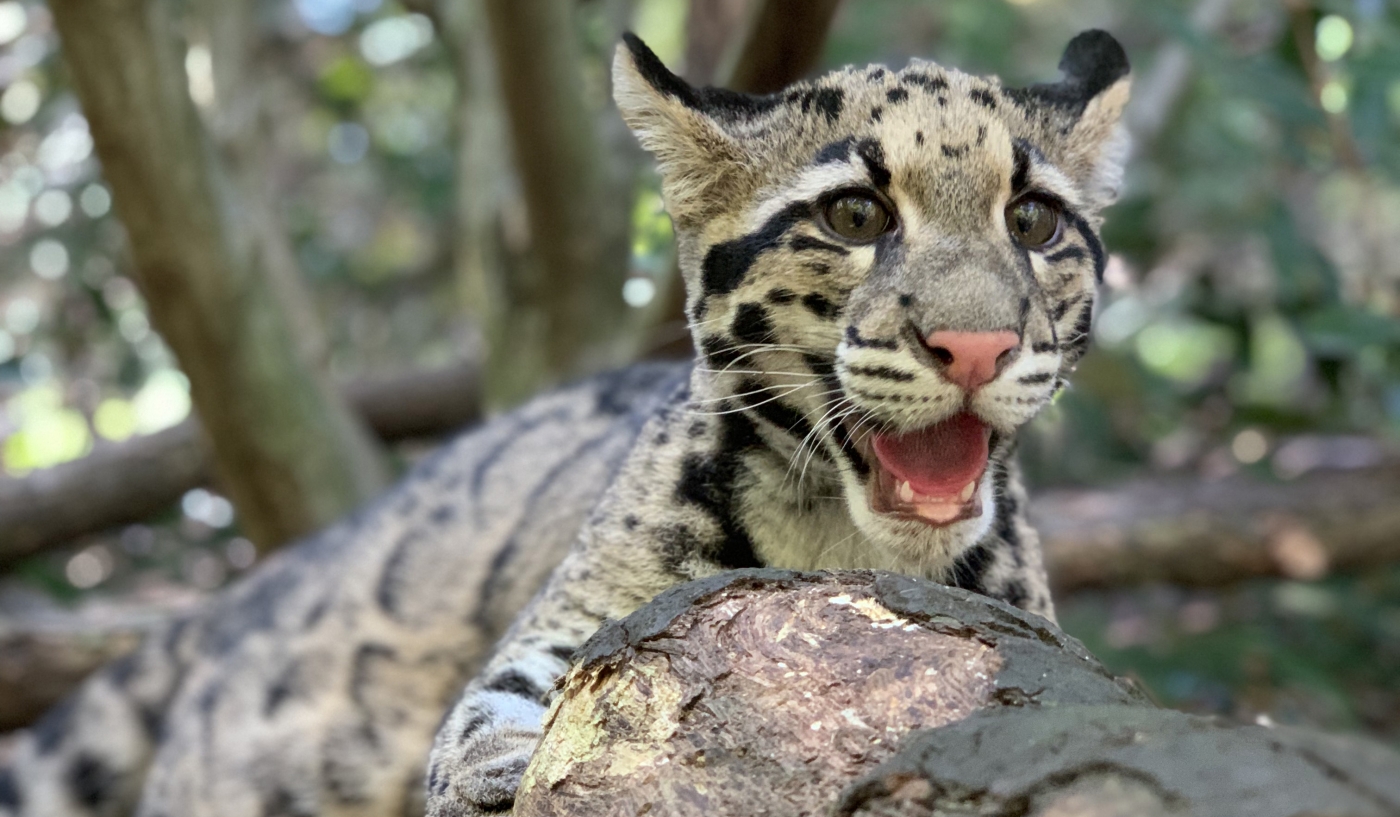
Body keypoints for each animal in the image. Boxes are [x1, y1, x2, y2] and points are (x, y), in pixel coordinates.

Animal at [0, 27, 1131, 817]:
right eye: (855, 214)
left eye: (1032, 221)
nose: (977, 346)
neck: (837, 539)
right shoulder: (587, 605)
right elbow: (492, 697)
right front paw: (496, 764)